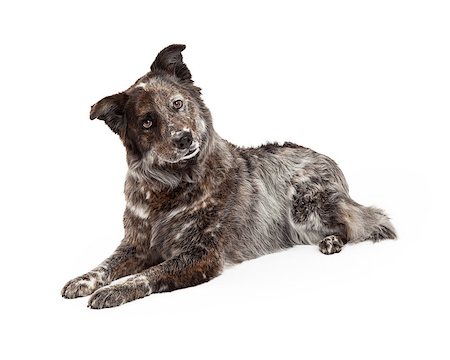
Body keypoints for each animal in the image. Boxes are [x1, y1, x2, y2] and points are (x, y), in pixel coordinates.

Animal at [61, 44, 396, 310]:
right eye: (147, 122)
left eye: (177, 104)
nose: (183, 138)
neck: (171, 186)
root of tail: (324, 156)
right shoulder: (135, 245)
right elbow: (106, 264)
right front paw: (84, 279)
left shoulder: (201, 255)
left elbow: (148, 274)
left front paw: (115, 290)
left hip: (307, 208)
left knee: (360, 223)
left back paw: (332, 240)